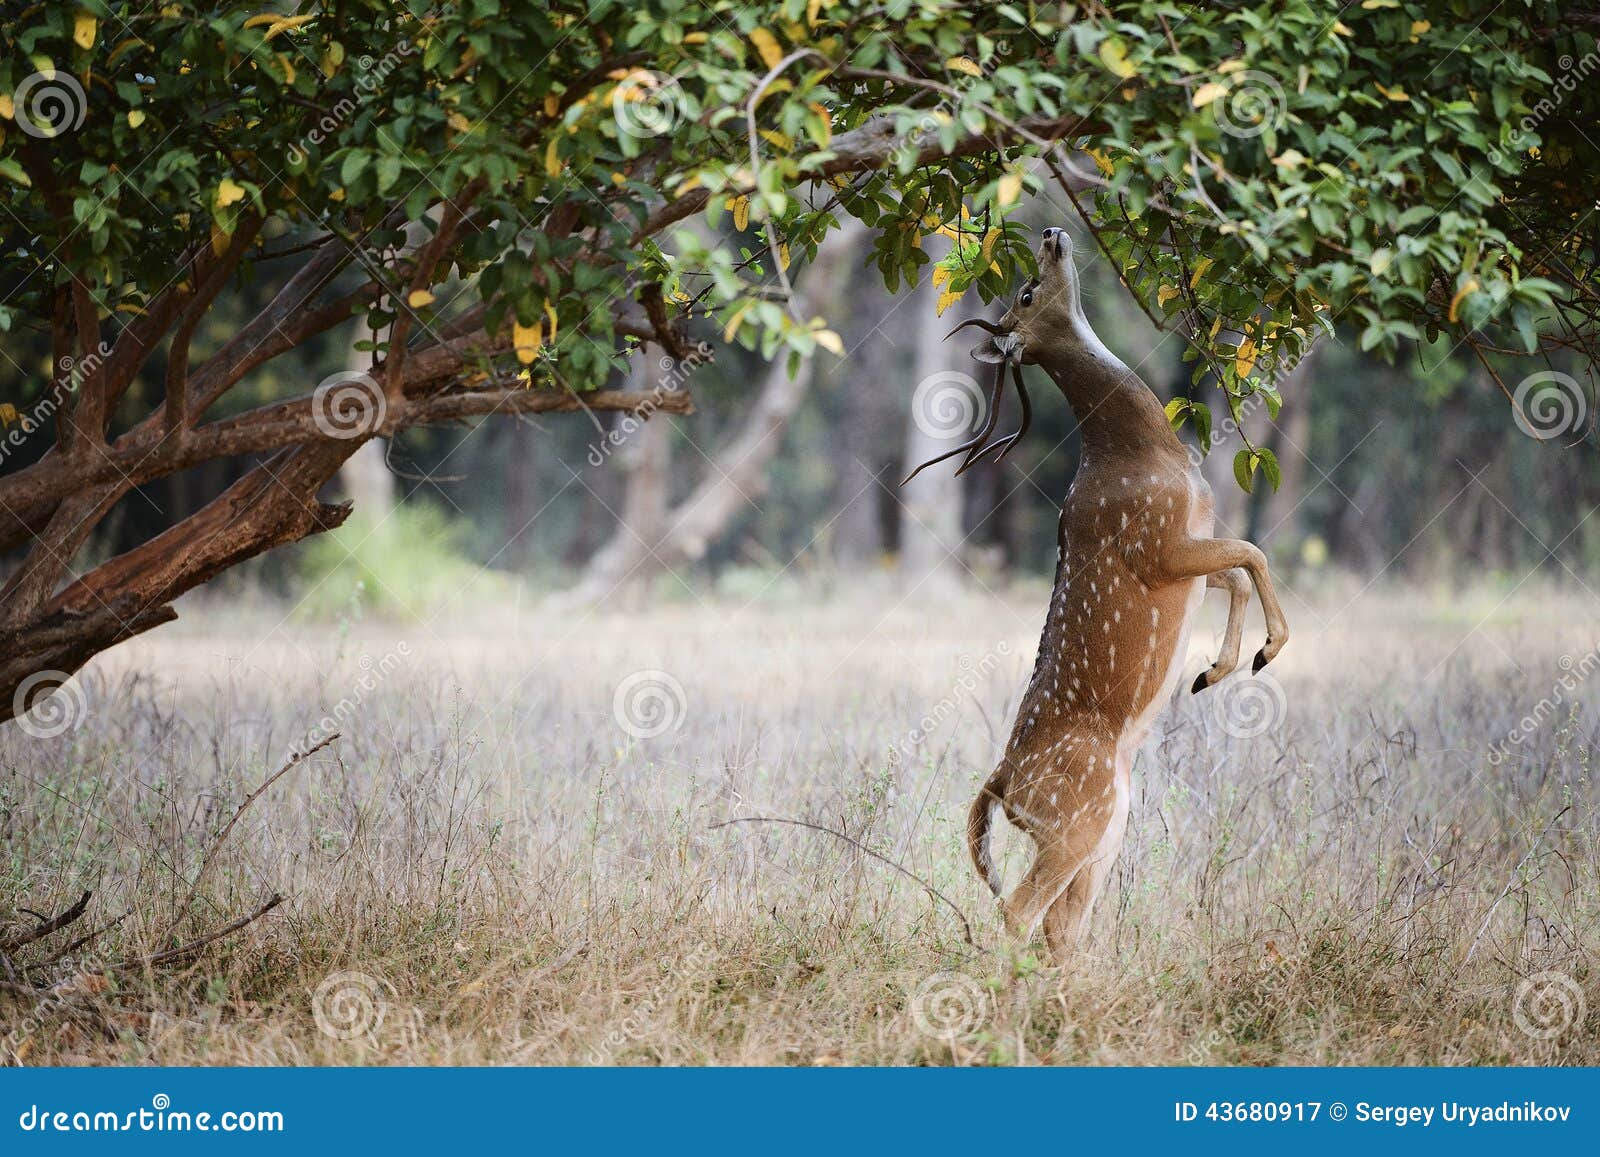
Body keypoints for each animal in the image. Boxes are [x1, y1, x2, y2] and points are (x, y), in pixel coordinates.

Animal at [908, 228, 1292, 966]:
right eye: (1027, 290)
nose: (1052, 234)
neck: (1144, 456)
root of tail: (1002, 782)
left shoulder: (1190, 546)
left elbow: (1237, 568)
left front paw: (1215, 668)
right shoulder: (1157, 545)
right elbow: (1253, 552)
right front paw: (1263, 653)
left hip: (1106, 829)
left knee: (1061, 926)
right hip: (1074, 822)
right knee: (1018, 911)